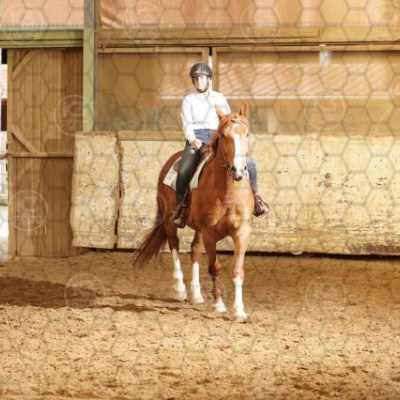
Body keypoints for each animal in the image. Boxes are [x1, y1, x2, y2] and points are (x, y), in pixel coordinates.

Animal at [134, 102, 254, 321]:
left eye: (247, 134)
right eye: (223, 135)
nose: (238, 171)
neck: (227, 192)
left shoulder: (242, 232)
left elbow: (237, 270)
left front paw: (239, 311)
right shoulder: (210, 232)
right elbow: (214, 267)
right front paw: (218, 304)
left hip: (198, 229)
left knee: (195, 249)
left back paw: (196, 294)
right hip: (169, 222)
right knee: (174, 245)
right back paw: (180, 290)